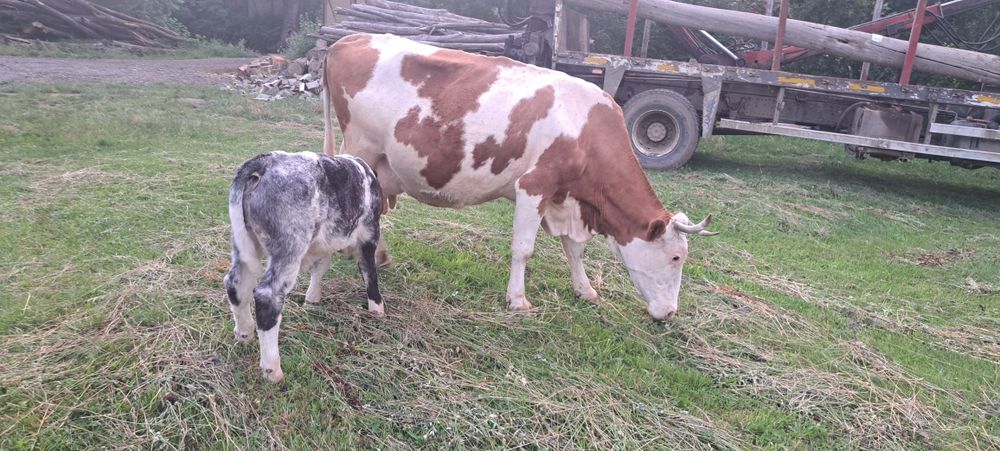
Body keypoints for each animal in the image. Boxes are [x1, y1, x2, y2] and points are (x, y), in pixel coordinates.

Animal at [224, 151, 383, 383]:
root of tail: (265, 160)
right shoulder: (370, 234)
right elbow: (369, 273)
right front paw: (377, 309)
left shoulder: (323, 243)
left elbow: (320, 267)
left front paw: (312, 298)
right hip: (290, 248)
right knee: (267, 295)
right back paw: (272, 369)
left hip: (242, 243)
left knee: (236, 284)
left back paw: (244, 333)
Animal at [321, 33, 716, 320]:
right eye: (676, 258)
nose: (670, 312)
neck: (585, 128)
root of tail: (350, 38)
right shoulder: (535, 186)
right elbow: (523, 249)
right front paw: (518, 300)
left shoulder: (566, 198)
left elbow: (574, 250)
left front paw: (586, 289)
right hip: (361, 149)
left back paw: (381, 255)